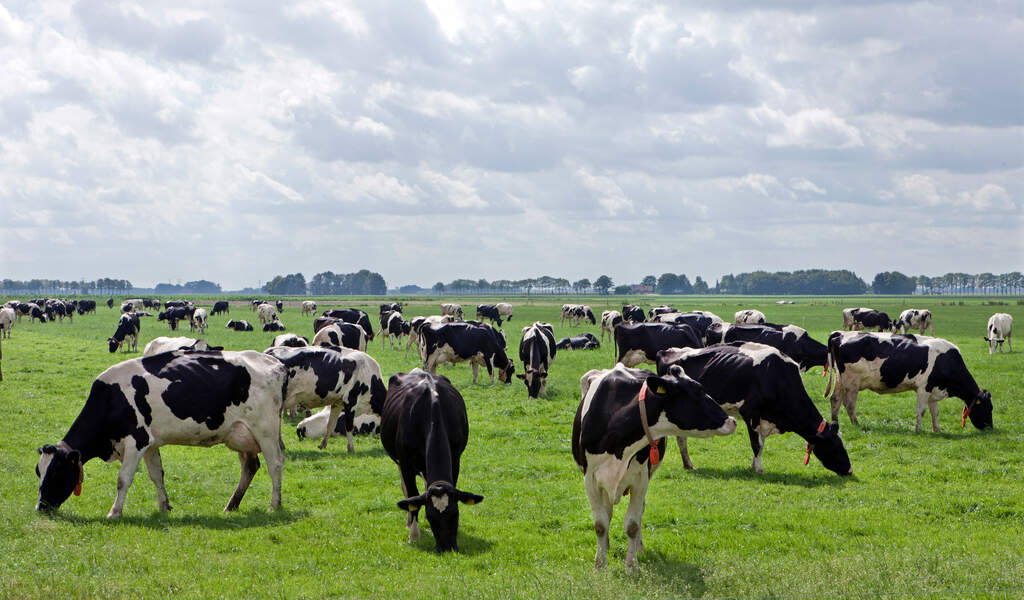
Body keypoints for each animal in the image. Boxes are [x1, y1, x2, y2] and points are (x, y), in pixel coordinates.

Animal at [36, 350, 288, 513]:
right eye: (39, 472)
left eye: (57, 472)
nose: (41, 507)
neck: (112, 398)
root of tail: (275, 362)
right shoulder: (150, 443)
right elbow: (157, 475)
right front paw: (164, 506)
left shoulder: (136, 441)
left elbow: (123, 479)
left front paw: (114, 512)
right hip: (239, 435)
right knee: (250, 466)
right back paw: (231, 505)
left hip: (265, 430)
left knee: (275, 464)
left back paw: (274, 505)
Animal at [380, 368, 483, 552]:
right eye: (431, 517)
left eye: (455, 514)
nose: (448, 548)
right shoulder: (406, 464)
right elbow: (413, 497)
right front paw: (413, 535)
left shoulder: (455, 459)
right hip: (399, 462)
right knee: (406, 491)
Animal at [577, 362, 737, 569]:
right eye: (699, 391)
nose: (732, 421)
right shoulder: (590, 479)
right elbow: (600, 524)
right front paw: (600, 565)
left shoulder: (641, 479)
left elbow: (632, 524)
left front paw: (632, 566)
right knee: (608, 511)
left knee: (639, 512)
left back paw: (639, 548)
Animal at [659, 344, 851, 475]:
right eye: (835, 445)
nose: (850, 470)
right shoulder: (750, 412)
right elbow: (756, 443)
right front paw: (758, 468)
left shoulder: (765, 418)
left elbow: (761, 443)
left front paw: (754, 464)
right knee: (681, 438)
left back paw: (688, 464)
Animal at [823, 329, 991, 432]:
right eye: (987, 408)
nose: (990, 428)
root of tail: (841, 334)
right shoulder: (924, 388)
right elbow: (921, 410)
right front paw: (919, 429)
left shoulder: (934, 390)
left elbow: (935, 412)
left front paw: (937, 430)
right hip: (852, 383)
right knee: (849, 404)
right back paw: (856, 424)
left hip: (840, 380)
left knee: (835, 399)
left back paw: (836, 423)